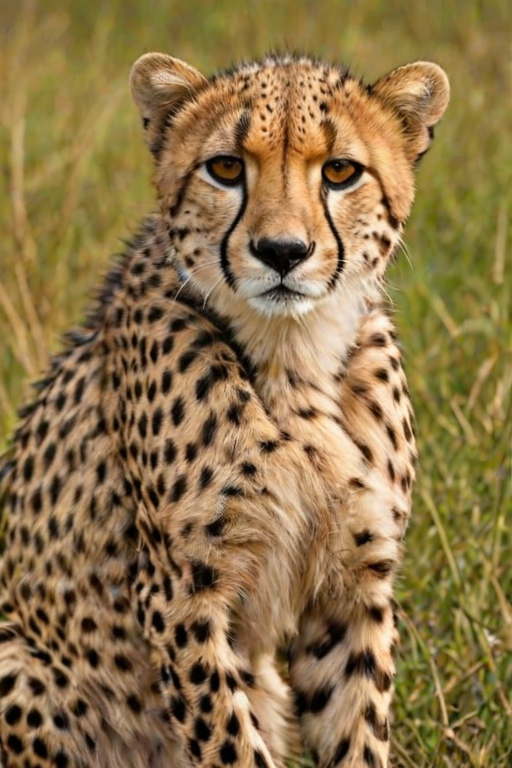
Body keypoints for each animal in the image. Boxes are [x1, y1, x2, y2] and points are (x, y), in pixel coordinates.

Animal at [0, 51, 449, 768]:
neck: (293, 357)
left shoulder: (352, 589)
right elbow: (230, 742)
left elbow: (357, 728)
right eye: (227, 168)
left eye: (340, 172)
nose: (283, 252)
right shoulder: (181, 595)